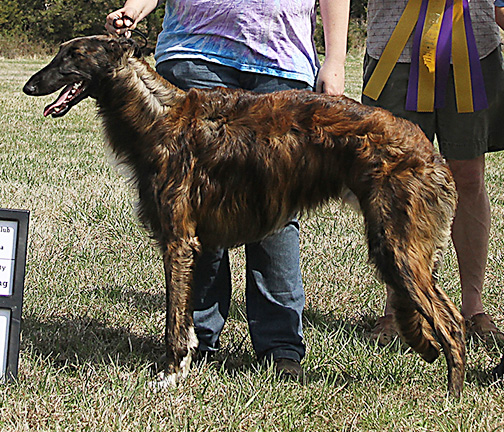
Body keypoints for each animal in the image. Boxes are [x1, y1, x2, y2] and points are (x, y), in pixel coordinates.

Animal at [23, 35, 464, 396]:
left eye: (75, 55)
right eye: (59, 52)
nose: (30, 86)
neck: (157, 115)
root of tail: (428, 152)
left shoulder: (178, 239)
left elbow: (173, 320)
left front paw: (169, 375)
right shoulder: (195, 242)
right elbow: (188, 316)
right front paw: (187, 364)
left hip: (398, 248)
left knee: (452, 324)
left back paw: (452, 398)